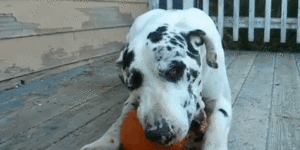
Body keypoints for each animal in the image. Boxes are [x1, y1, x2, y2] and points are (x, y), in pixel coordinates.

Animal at [80, 8, 232, 150]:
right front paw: (103, 142)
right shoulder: (132, 98)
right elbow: (121, 118)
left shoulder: (221, 101)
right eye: (131, 84)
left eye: (175, 70)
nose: (159, 134)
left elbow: (216, 131)